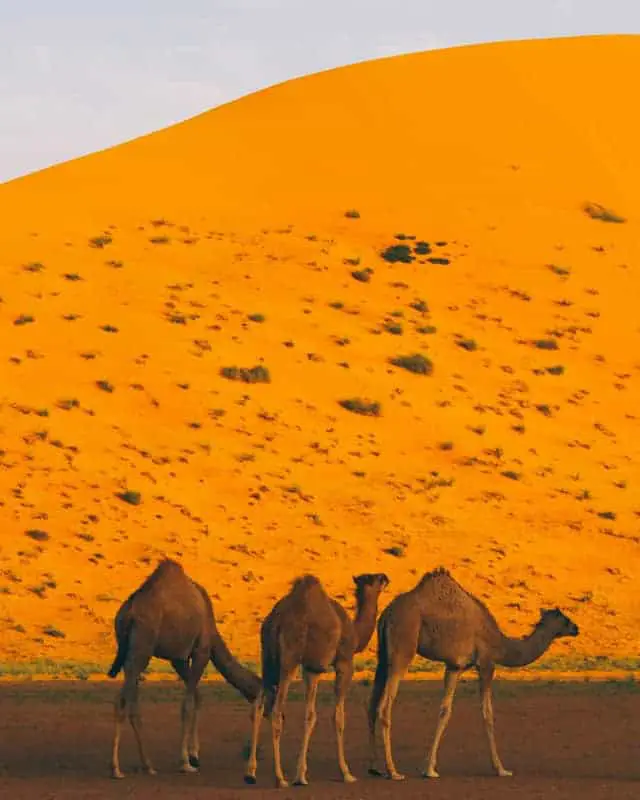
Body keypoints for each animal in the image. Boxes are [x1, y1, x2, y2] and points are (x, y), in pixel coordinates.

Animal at [107, 558, 261, 779]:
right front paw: (186, 762)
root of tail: (128, 613)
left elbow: (197, 696)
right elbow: (187, 704)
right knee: (123, 701)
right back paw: (119, 768)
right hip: (142, 648)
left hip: (130, 649)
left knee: (128, 702)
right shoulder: (201, 650)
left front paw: (194, 755)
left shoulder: (178, 659)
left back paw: (145, 765)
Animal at [244, 572, 390, 788]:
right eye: (376, 578)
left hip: (268, 661)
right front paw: (346, 773)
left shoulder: (312, 669)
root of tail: (275, 622)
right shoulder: (344, 662)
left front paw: (301, 775)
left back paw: (250, 773)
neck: (355, 635)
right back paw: (280, 778)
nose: (386, 577)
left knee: (258, 705)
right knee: (277, 711)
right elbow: (338, 717)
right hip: (289, 661)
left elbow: (310, 716)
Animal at [368, 566, 579, 780]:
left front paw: (429, 768)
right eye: (564, 618)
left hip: (383, 654)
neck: (500, 644)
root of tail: (387, 615)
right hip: (402, 649)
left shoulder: (455, 667)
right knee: (384, 706)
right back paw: (393, 771)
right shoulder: (486, 663)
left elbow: (445, 711)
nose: (576, 628)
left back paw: (375, 768)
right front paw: (501, 769)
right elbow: (487, 713)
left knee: (372, 704)